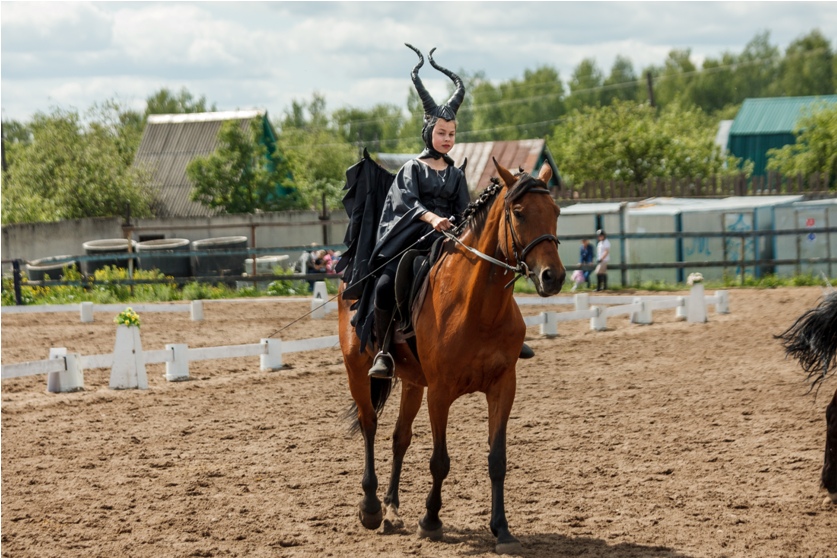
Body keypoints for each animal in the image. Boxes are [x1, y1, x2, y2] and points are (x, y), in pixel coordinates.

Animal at [338, 159, 565, 553]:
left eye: (555, 212)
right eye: (519, 213)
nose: (553, 277)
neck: (479, 308)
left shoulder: (503, 387)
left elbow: (497, 459)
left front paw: (502, 530)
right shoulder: (441, 392)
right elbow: (440, 461)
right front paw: (430, 520)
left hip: (413, 382)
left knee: (399, 437)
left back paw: (392, 508)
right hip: (358, 370)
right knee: (370, 426)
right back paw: (370, 507)